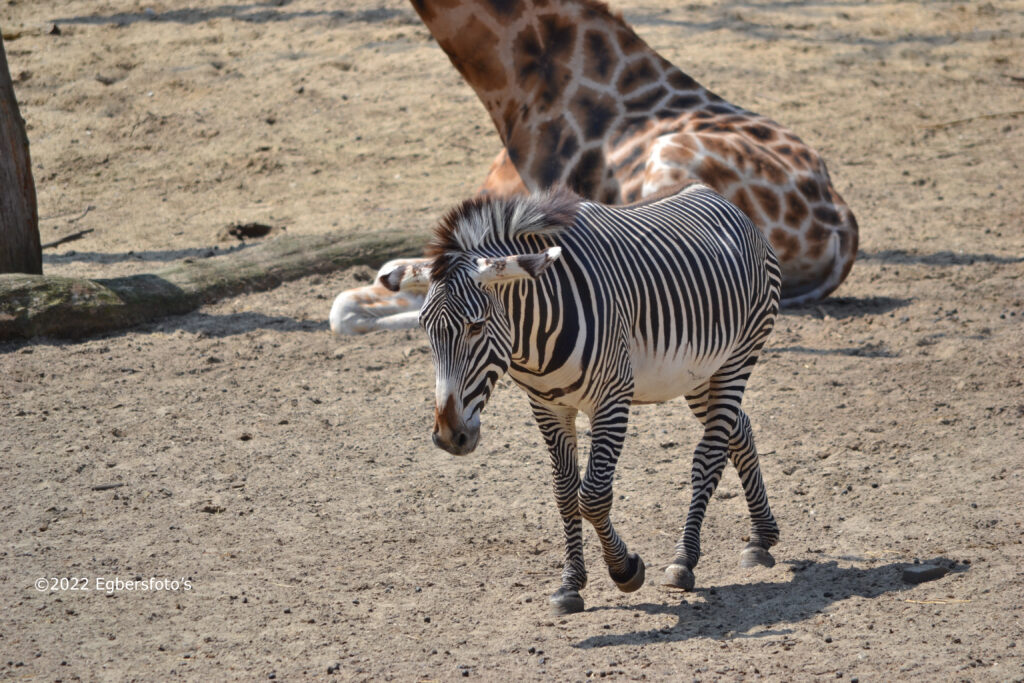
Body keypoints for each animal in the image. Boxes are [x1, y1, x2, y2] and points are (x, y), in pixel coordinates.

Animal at [389, 182, 782, 614]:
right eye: (424, 327)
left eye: (476, 326)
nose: (449, 436)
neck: (533, 335)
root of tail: (719, 197)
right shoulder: (548, 406)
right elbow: (565, 493)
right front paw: (570, 584)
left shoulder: (612, 399)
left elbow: (592, 496)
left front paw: (624, 569)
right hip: (698, 372)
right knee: (739, 429)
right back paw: (761, 538)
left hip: (737, 357)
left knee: (710, 454)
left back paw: (684, 559)